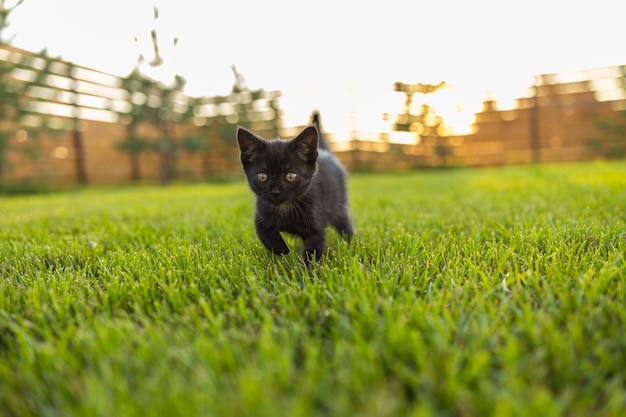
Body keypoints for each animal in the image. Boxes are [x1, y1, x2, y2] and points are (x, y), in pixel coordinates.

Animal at [235, 120, 352, 264]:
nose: (275, 192)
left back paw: (351, 243)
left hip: (339, 206)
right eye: (262, 176)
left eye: (291, 176)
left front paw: (309, 268)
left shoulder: (315, 226)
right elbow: (264, 232)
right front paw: (281, 249)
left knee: (345, 225)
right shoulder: (260, 214)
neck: (284, 208)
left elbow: (313, 251)